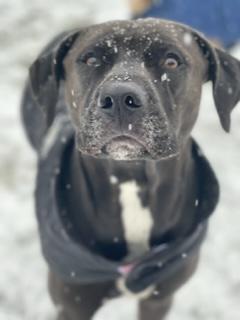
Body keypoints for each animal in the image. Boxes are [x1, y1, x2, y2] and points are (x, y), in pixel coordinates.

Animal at [21, 19, 239, 320]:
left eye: (171, 61)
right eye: (90, 59)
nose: (120, 97)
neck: (132, 178)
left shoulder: (159, 299)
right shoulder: (71, 305)